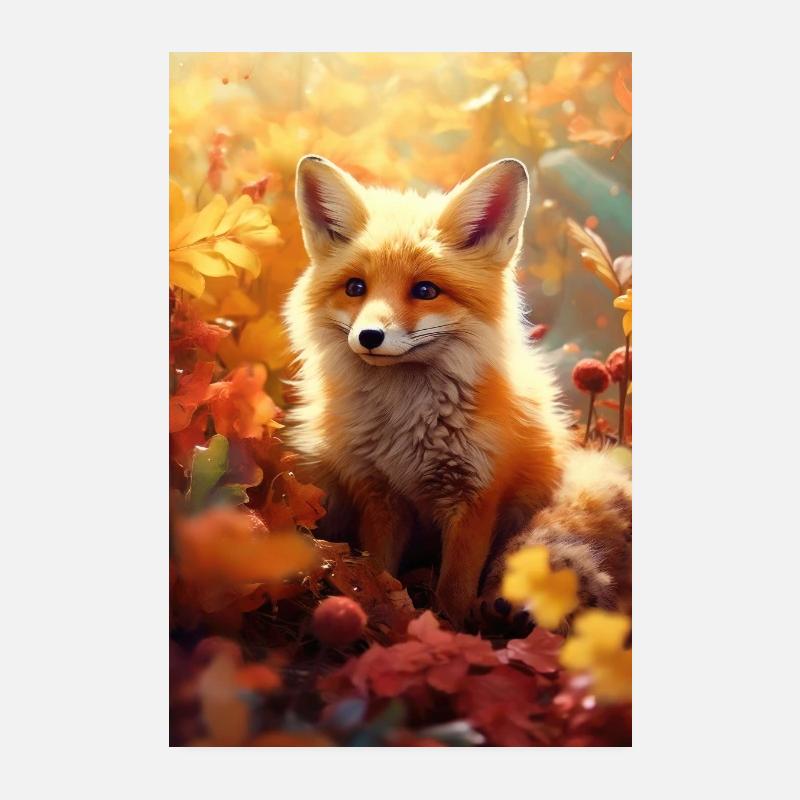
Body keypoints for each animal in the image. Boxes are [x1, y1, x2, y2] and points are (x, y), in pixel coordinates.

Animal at [284, 154, 631, 626]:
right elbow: (380, 571)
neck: (406, 424)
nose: (369, 336)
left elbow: (454, 588)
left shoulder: (477, 497)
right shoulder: (380, 497)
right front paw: (384, 615)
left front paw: (448, 629)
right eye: (356, 288)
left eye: (425, 290)